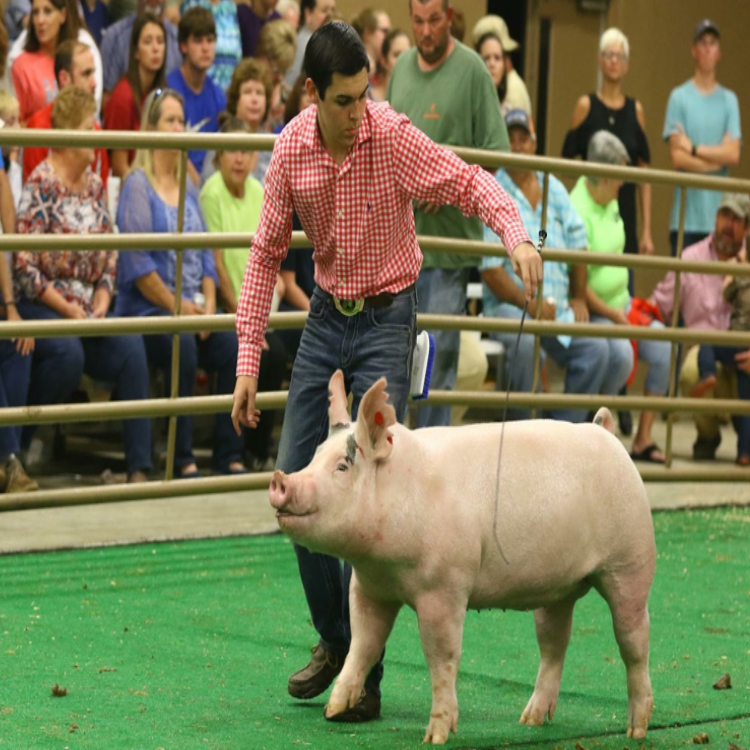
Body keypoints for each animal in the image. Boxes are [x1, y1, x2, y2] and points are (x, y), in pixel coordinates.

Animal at [270, 372, 656, 748]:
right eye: (314, 457)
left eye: (342, 466)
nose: (280, 479)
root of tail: (606, 433)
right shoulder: (368, 587)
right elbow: (364, 643)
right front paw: (335, 710)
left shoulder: (444, 590)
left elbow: (441, 658)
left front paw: (435, 736)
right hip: (556, 589)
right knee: (554, 641)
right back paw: (530, 720)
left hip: (630, 561)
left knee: (633, 640)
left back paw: (636, 730)